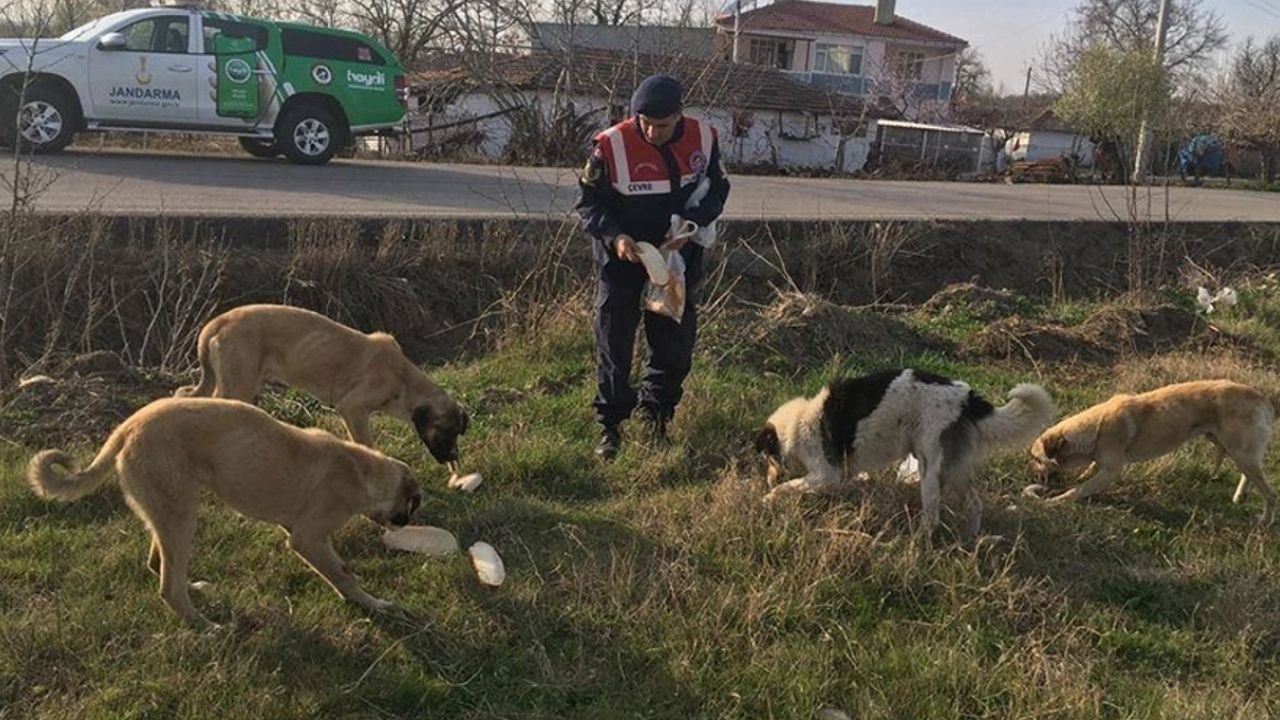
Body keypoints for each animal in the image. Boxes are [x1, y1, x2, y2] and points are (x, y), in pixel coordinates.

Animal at [27, 394, 422, 625]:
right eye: (412, 504)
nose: (405, 523)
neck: (359, 469)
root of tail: (127, 428)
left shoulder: (294, 529)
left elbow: (339, 567)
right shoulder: (308, 538)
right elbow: (343, 575)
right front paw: (371, 604)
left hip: (168, 514)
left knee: (160, 565)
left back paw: (194, 589)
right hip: (181, 515)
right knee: (168, 588)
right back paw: (205, 626)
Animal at [174, 302, 465, 466]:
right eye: (446, 432)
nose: (455, 459)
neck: (403, 378)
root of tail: (216, 322)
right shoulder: (353, 409)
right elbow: (366, 444)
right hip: (238, 386)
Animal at [752, 368, 1054, 538]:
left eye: (766, 459)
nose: (766, 479)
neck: (796, 425)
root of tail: (968, 398)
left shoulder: (827, 475)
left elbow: (789, 487)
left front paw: (768, 498)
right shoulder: (842, 477)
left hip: (931, 471)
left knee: (932, 517)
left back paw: (918, 542)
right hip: (951, 471)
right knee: (974, 504)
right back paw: (969, 540)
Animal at [1029, 379, 1280, 525]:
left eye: (1036, 459)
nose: (1029, 473)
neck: (1097, 426)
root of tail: (1264, 400)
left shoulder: (1110, 472)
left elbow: (1078, 490)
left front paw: (1056, 500)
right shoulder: (1101, 463)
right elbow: (1088, 471)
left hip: (1241, 452)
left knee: (1270, 494)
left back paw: (1265, 520)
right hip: (1229, 447)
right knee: (1247, 474)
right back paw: (1240, 496)